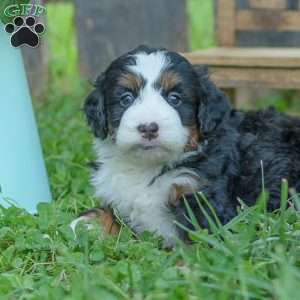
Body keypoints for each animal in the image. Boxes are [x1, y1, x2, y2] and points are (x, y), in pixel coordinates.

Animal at [72, 44, 300, 246]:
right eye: (126, 98)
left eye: (175, 98)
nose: (148, 127)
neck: (148, 167)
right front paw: (85, 224)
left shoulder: (201, 195)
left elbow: (197, 241)